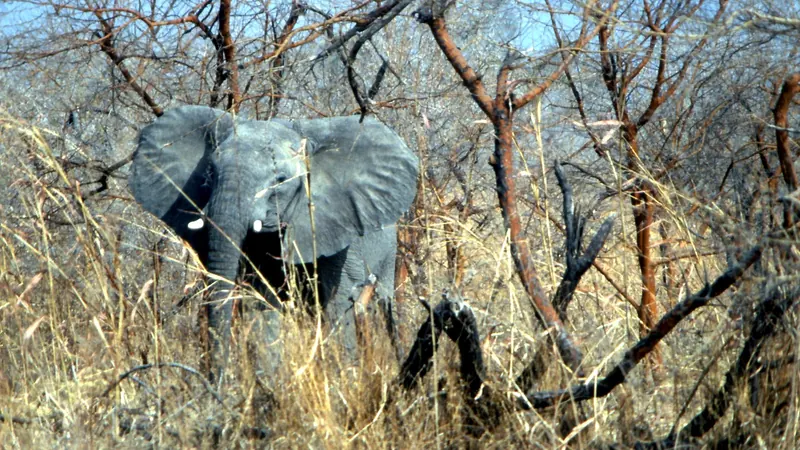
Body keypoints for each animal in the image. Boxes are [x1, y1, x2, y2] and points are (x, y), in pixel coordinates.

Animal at [129, 105, 418, 383]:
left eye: (280, 180)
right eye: (210, 173)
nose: (215, 384)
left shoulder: (340, 228)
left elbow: (338, 304)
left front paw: (342, 379)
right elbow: (262, 305)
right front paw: (270, 383)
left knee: (382, 308)